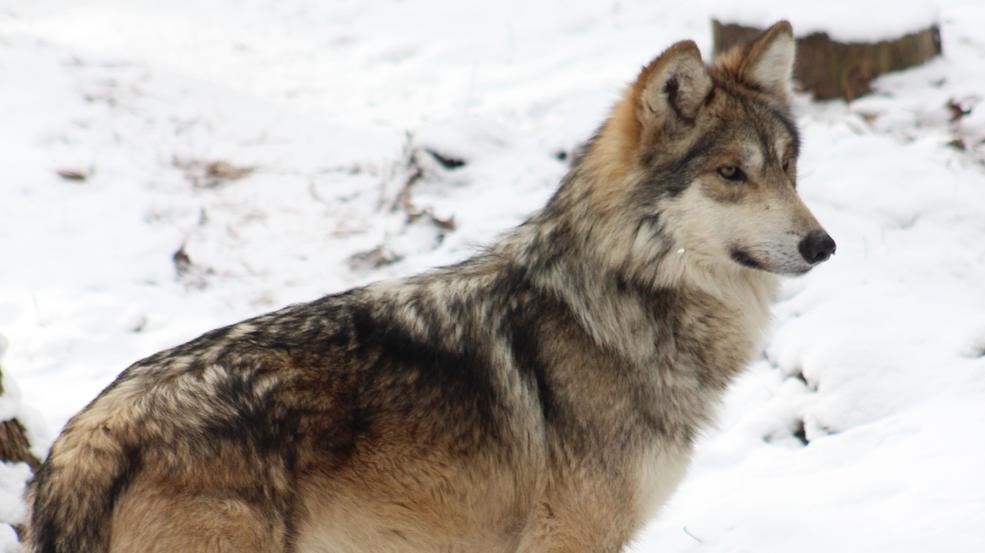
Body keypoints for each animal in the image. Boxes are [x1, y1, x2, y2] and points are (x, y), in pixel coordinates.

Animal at [24, 20, 834, 553]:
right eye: (730, 173)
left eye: (789, 168)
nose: (823, 245)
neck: (616, 302)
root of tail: (86, 435)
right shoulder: (572, 538)